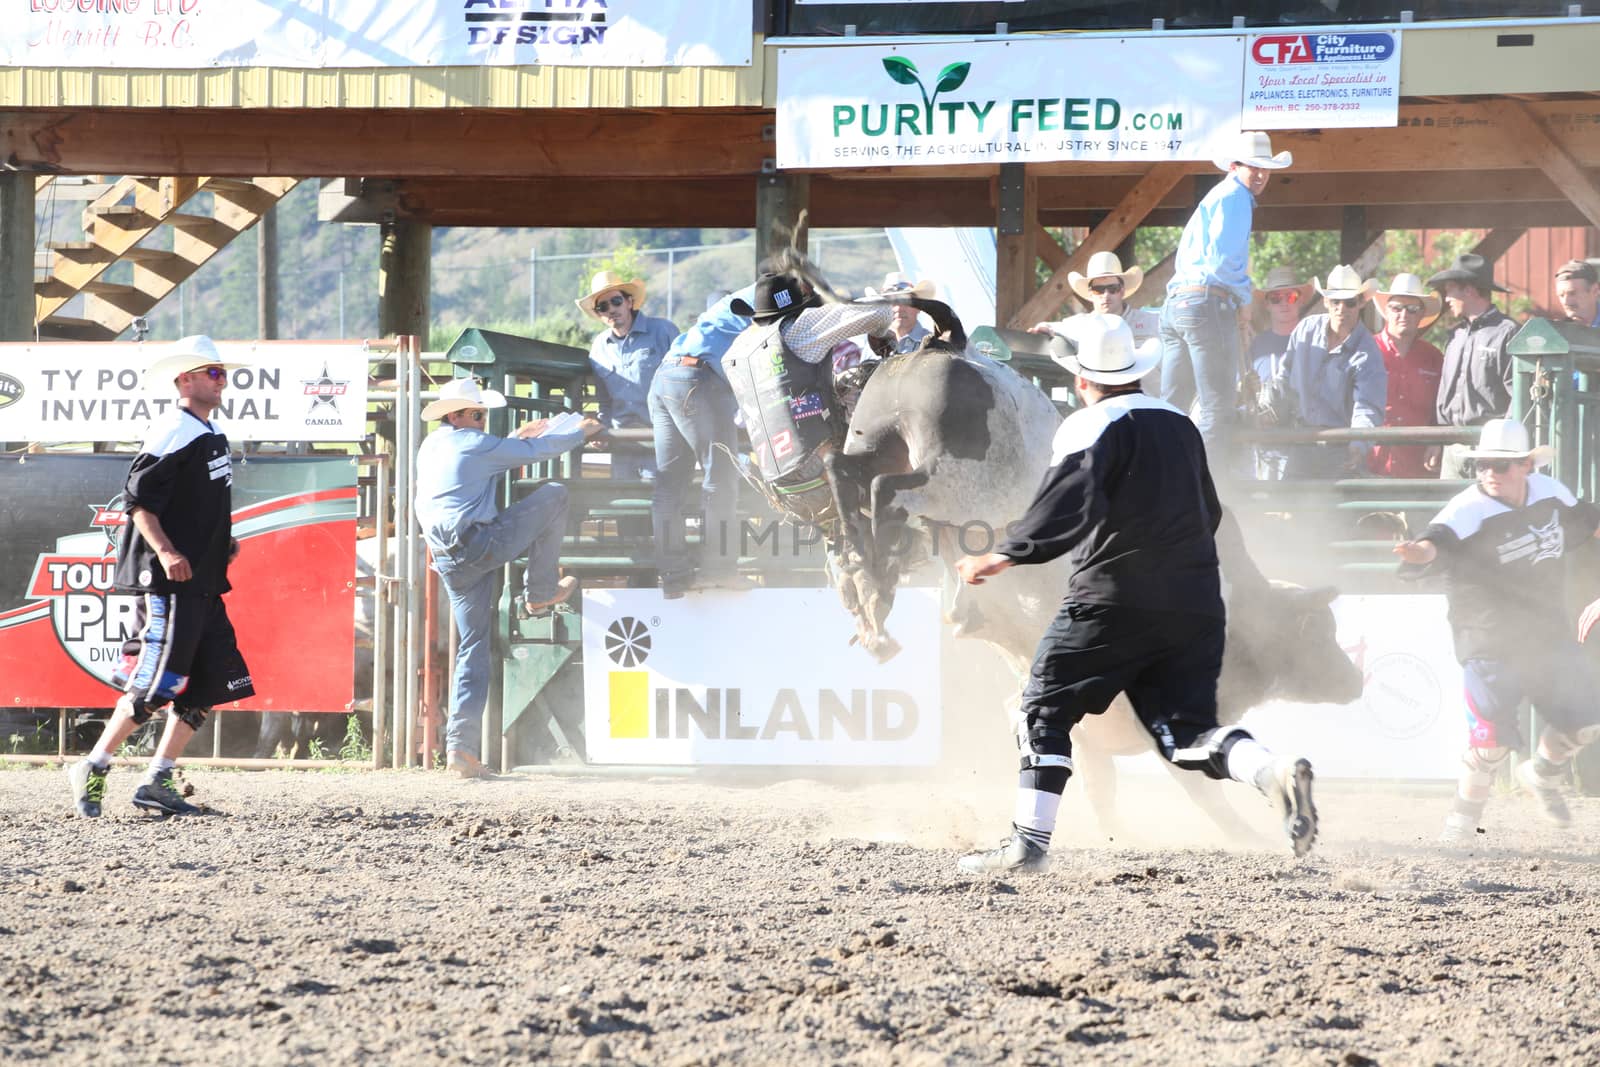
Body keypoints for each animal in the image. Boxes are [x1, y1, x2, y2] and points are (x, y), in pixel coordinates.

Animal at [726, 260, 1363, 844]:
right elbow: (1189, 782)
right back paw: (876, 566)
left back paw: (868, 578)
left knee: (846, 471)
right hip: (947, 472)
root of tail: (945, 342)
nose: (1356, 680)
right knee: (888, 491)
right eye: (1321, 630)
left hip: (877, 438)